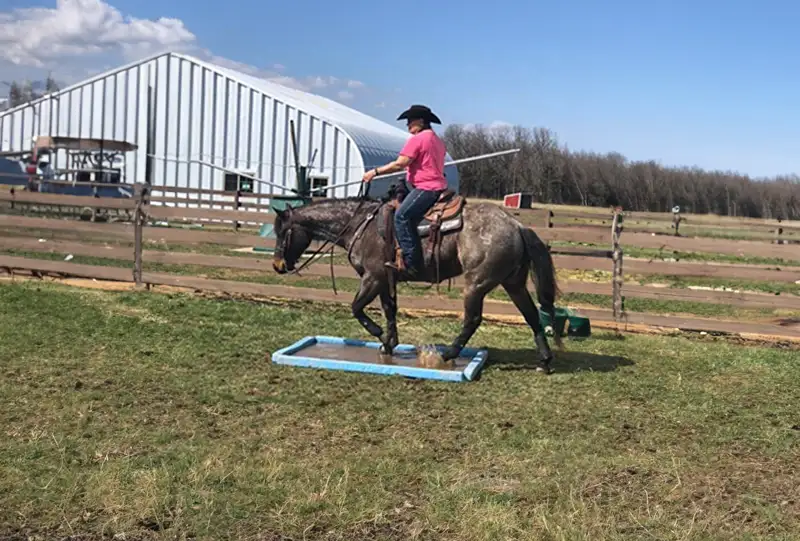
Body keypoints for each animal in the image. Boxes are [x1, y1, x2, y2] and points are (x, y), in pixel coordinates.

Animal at [272, 189, 564, 372]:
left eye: (282, 232)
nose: (277, 266)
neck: (359, 225)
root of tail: (517, 226)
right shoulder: (386, 280)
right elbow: (389, 310)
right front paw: (388, 344)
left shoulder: (373, 277)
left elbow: (356, 308)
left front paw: (380, 335)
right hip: (513, 283)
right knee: (531, 315)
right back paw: (545, 361)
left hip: (477, 284)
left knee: (472, 320)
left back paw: (447, 354)